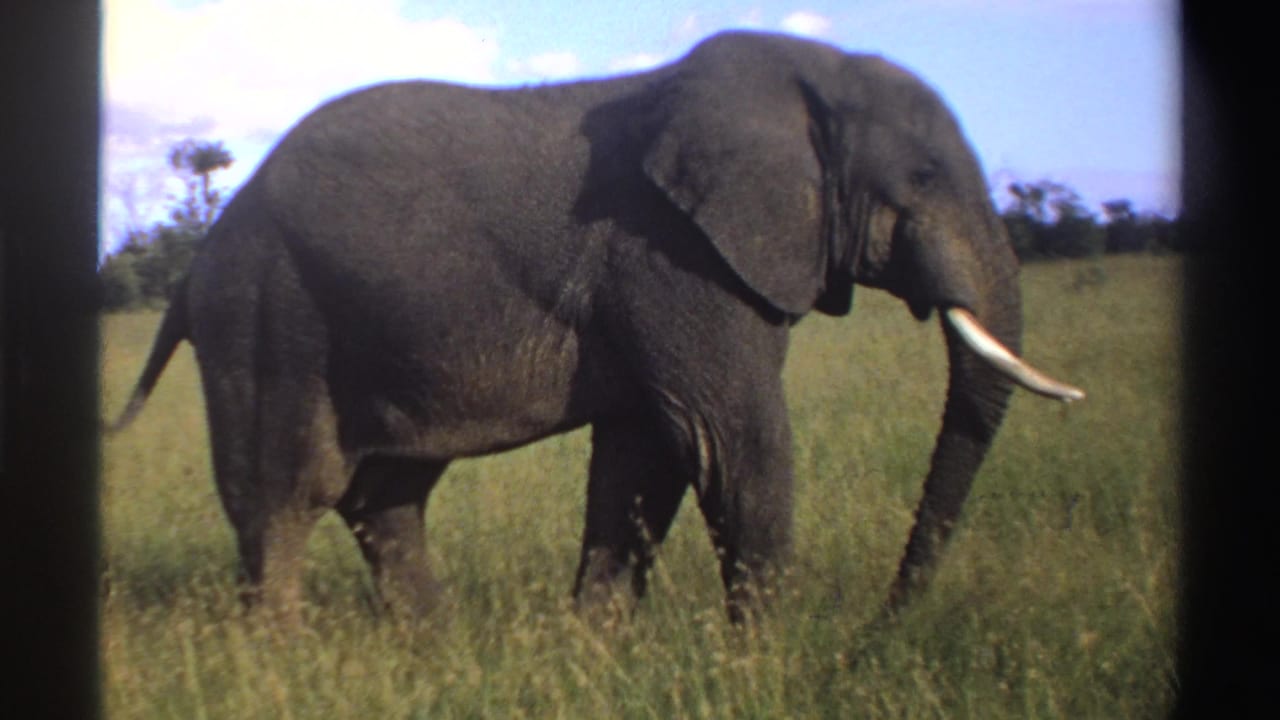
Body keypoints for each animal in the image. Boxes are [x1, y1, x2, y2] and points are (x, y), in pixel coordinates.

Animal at [111, 30, 1083, 623]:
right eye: (923, 176)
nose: (878, 629)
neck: (802, 72)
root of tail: (198, 261)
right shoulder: (673, 253)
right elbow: (732, 445)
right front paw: (770, 663)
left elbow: (643, 460)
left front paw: (595, 649)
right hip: (267, 313)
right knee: (283, 496)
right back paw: (280, 658)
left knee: (386, 495)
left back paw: (434, 650)